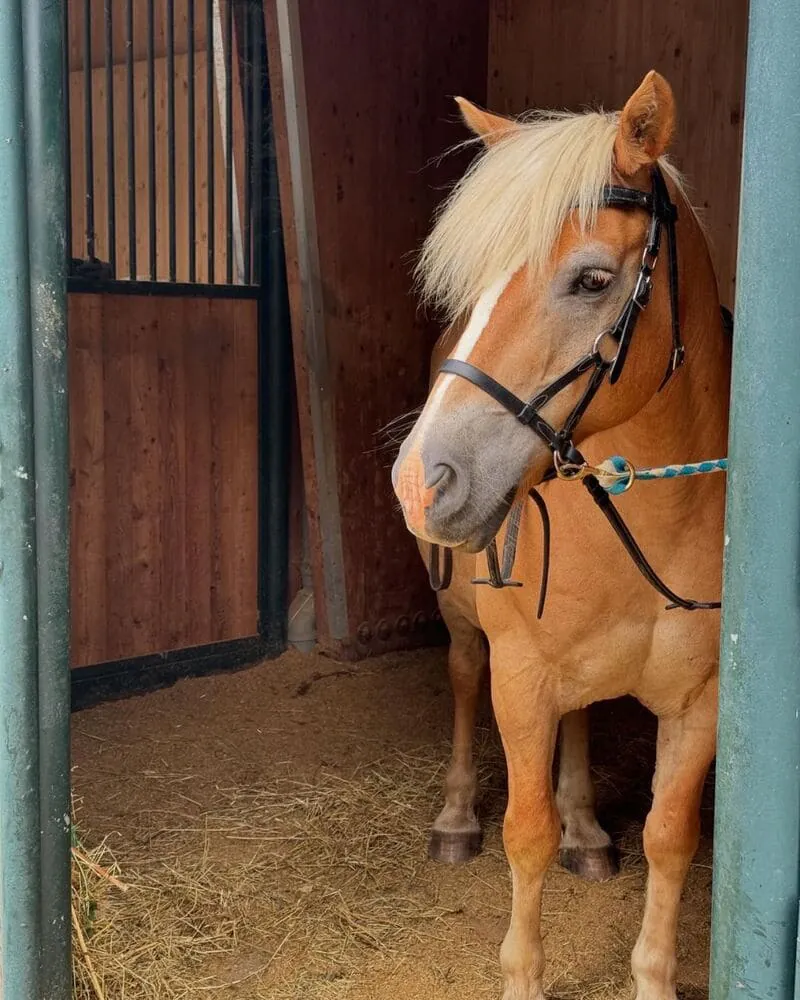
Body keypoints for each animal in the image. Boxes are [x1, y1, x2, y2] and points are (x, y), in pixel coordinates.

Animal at [393, 70, 728, 1000]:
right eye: (474, 282)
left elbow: (669, 839)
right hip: (465, 623)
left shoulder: (700, 702)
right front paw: (522, 976)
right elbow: (525, 835)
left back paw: (586, 827)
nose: (420, 480)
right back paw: (456, 817)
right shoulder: (521, 678)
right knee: (461, 679)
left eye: (591, 280)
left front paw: (651, 977)